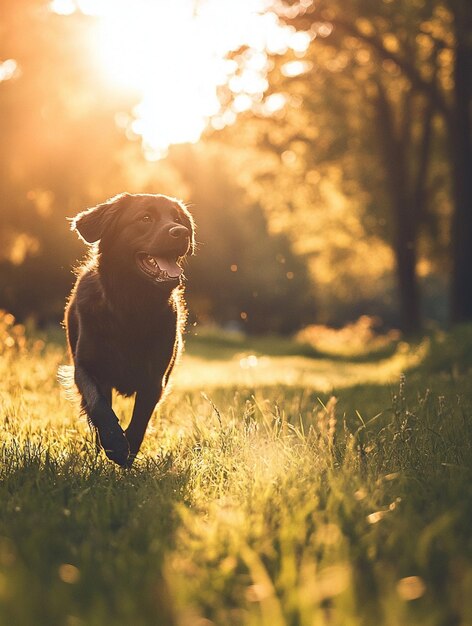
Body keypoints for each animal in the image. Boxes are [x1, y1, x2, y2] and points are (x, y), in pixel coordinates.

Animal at [63, 193, 195, 466]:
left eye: (178, 219)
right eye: (145, 218)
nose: (182, 232)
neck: (131, 306)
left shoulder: (155, 378)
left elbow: (140, 419)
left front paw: (128, 450)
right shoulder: (85, 367)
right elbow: (98, 404)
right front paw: (114, 443)